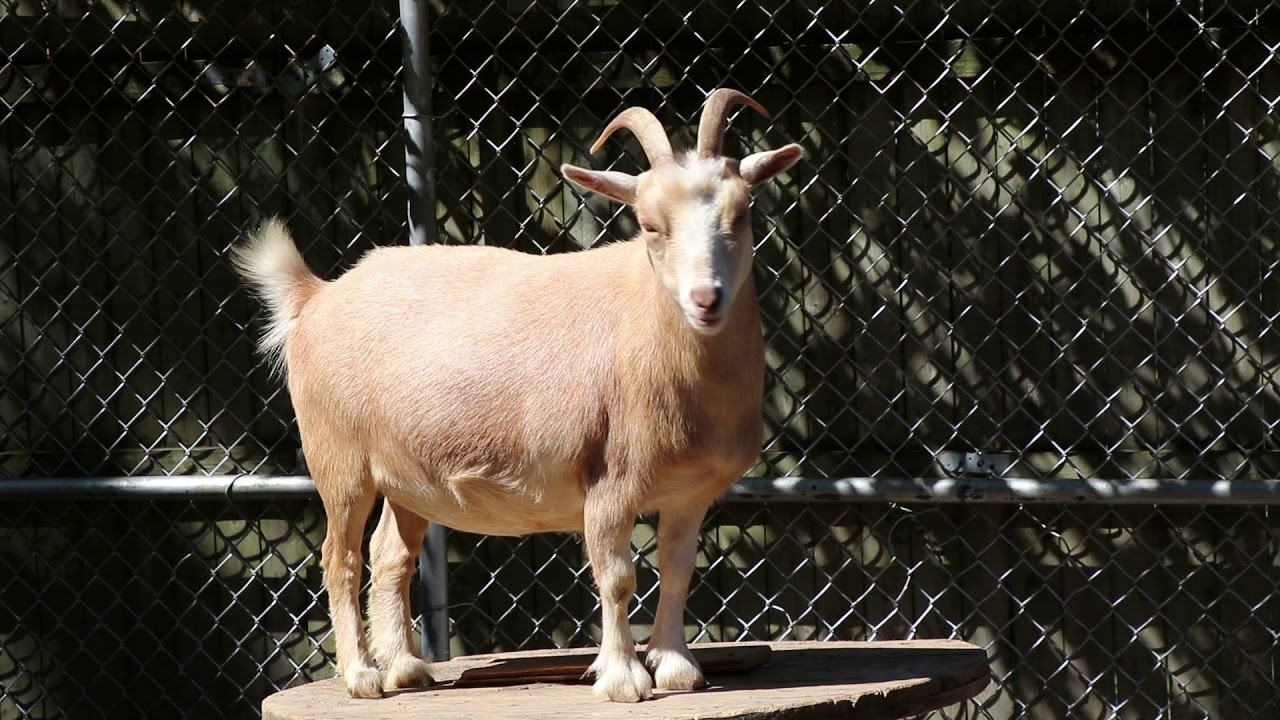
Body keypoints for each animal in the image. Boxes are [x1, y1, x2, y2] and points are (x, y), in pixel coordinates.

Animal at [234, 88, 803, 703]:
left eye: (742, 213)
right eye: (651, 225)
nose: (706, 299)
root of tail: (315, 296)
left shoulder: (690, 492)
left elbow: (677, 571)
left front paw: (677, 668)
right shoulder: (608, 481)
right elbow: (617, 577)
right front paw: (623, 679)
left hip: (407, 476)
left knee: (390, 556)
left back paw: (406, 668)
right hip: (338, 459)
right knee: (340, 557)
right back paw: (363, 676)